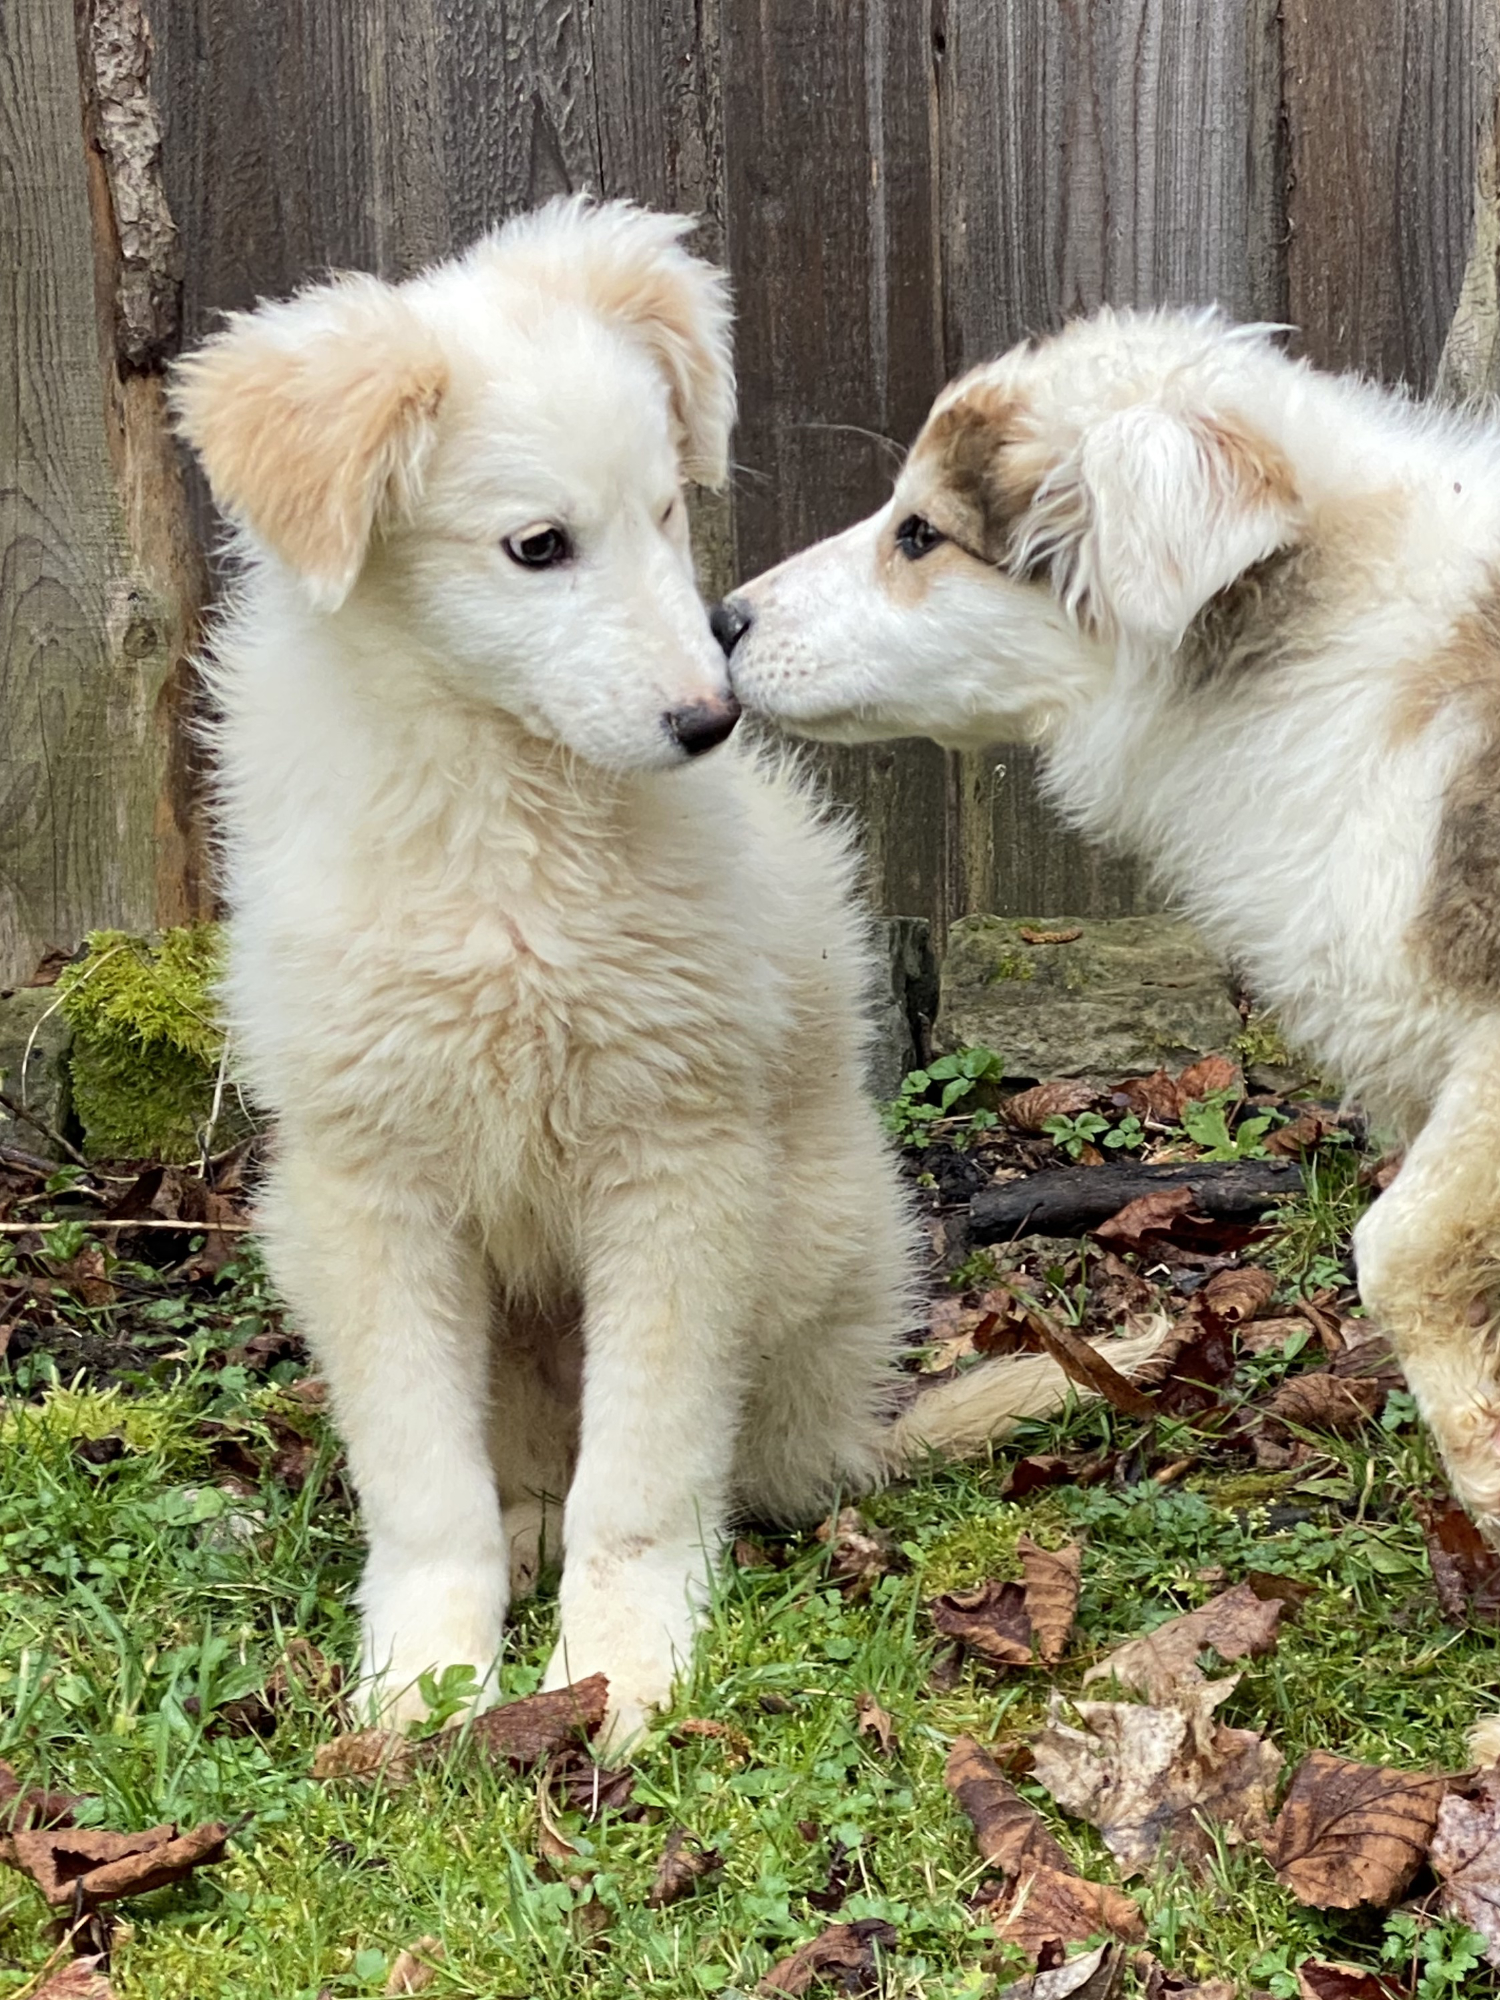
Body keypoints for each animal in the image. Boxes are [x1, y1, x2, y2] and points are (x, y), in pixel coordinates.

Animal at [170, 201, 1159, 1748]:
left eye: (665, 515)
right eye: (537, 547)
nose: (711, 720)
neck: (508, 810)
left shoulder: (676, 1164)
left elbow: (640, 1475)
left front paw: (617, 1673)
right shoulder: (369, 1188)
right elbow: (424, 1483)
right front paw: (424, 1685)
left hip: (804, 1237)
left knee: (738, 1472)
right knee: (521, 1476)